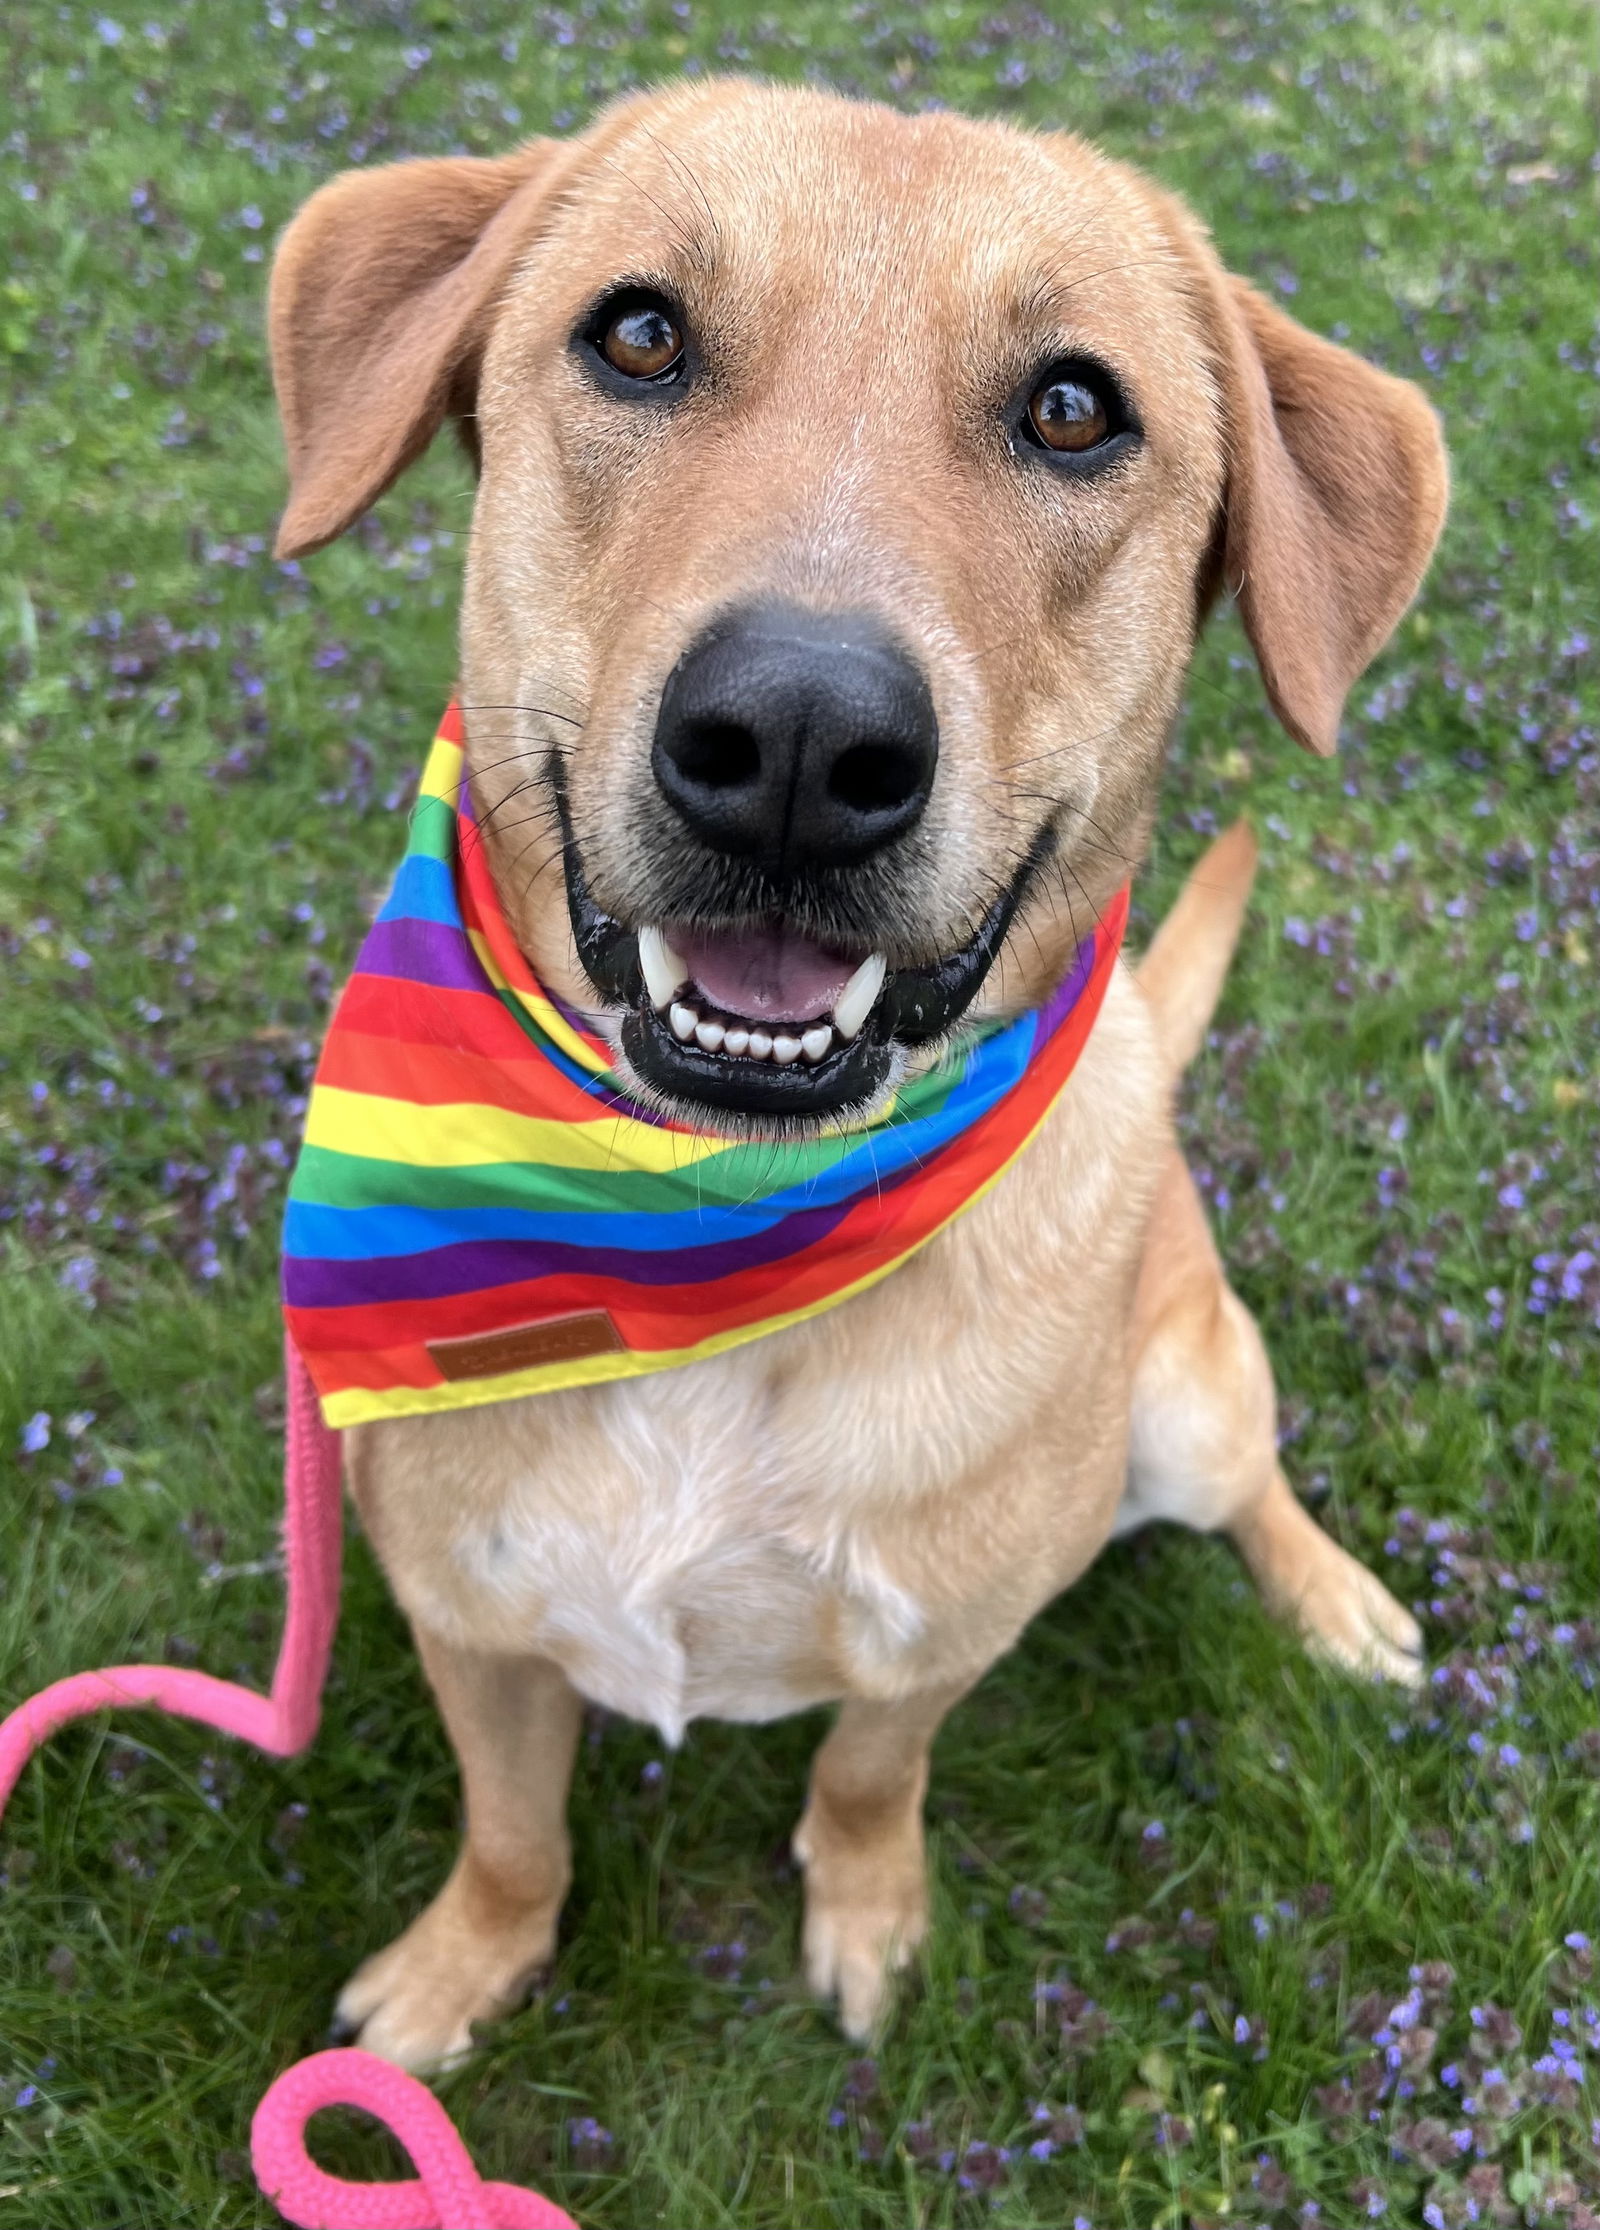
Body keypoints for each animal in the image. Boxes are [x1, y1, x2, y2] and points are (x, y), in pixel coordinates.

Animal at [265, 74, 1446, 2069]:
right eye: (639, 334)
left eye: (1074, 408)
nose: (801, 741)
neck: (705, 1219)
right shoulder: (474, 1625)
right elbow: (513, 1837)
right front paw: (458, 1973)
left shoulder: (934, 1645)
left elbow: (873, 1779)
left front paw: (870, 1913)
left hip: (1191, 1389)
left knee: (1249, 1481)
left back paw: (1335, 1603)